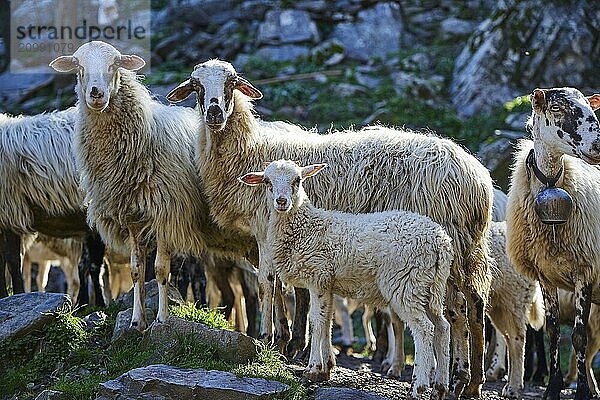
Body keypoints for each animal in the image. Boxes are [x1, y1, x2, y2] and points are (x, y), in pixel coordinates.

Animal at [49, 40, 258, 330]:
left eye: (114, 64)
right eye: (78, 66)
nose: (96, 94)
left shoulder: (166, 214)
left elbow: (160, 270)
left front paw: (161, 318)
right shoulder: (133, 218)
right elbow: (137, 270)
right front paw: (137, 321)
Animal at [241, 158, 452, 398]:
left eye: (297, 180)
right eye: (267, 181)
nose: (282, 201)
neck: (306, 227)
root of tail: (440, 241)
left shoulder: (318, 277)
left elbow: (316, 322)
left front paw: (312, 369)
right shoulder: (328, 284)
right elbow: (327, 322)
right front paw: (325, 369)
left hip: (406, 283)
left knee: (425, 329)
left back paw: (419, 387)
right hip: (430, 288)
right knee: (442, 327)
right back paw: (440, 388)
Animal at [506, 87, 600, 400]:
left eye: (592, 109)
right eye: (557, 108)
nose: (598, 145)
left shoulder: (586, 271)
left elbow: (579, 337)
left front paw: (581, 391)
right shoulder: (545, 276)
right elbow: (553, 333)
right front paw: (552, 388)